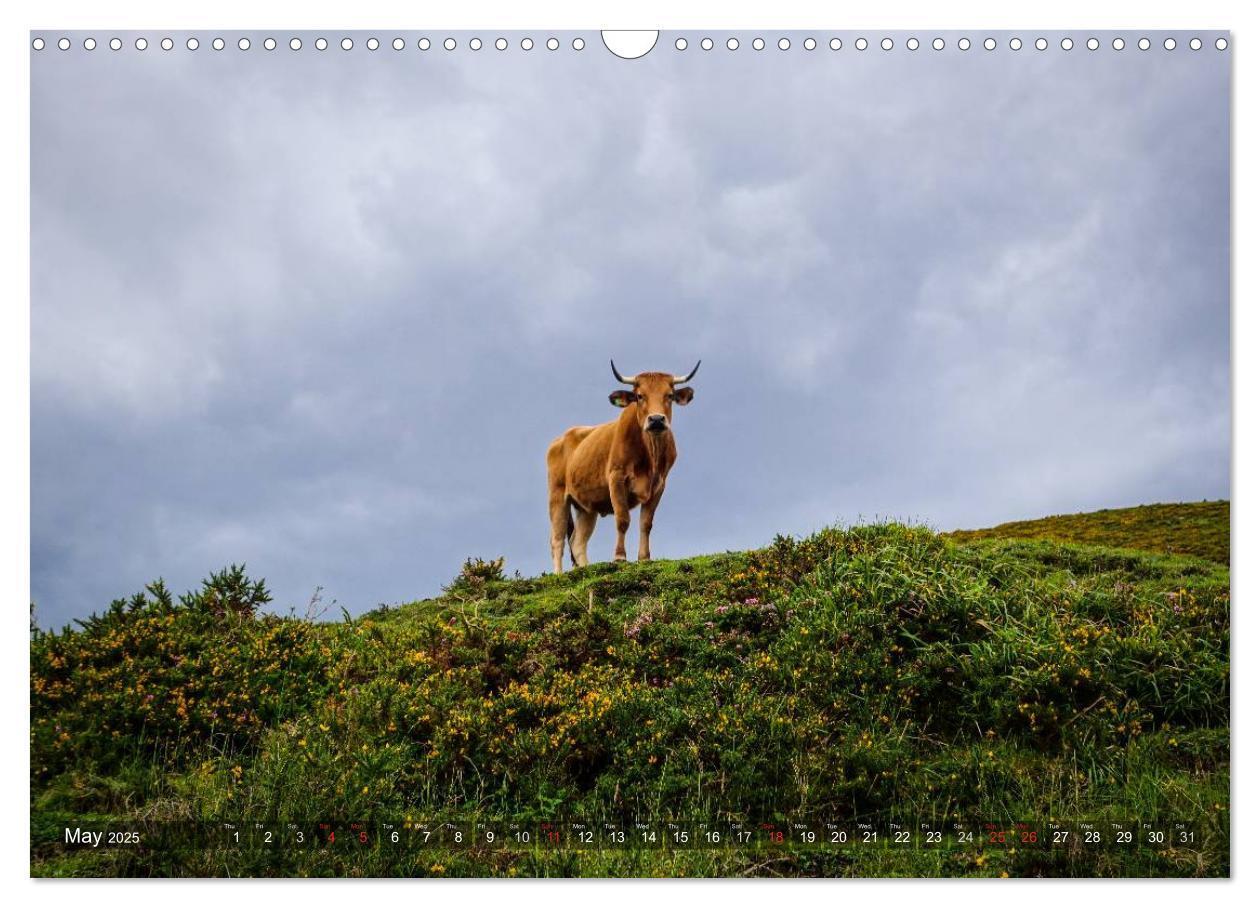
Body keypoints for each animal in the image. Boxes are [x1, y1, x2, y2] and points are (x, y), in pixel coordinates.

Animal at [544, 357, 700, 569]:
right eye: (639, 396)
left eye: (669, 395)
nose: (656, 419)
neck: (649, 457)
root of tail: (562, 438)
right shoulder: (616, 478)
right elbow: (622, 519)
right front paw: (619, 557)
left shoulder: (659, 485)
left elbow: (646, 523)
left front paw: (644, 557)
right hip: (557, 496)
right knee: (557, 541)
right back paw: (559, 573)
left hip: (586, 507)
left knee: (577, 541)